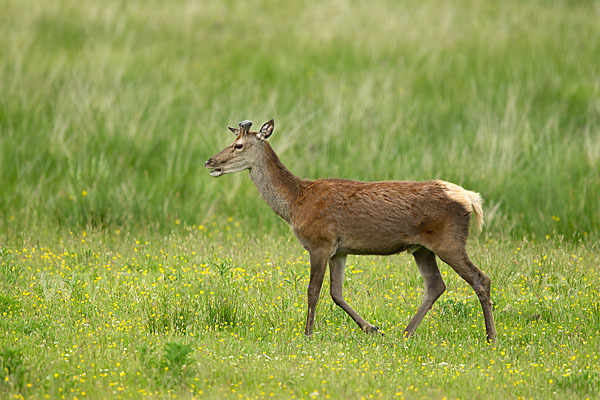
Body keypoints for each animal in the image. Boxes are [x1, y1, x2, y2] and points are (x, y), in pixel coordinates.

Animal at [206, 119, 496, 340]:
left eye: (238, 145)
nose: (210, 161)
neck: (295, 204)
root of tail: (471, 198)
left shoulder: (320, 242)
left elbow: (313, 291)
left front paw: (307, 334)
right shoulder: (340, 250)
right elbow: (336, 293)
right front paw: (371, 328)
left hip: (450, 240)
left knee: (480, 279)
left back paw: (490, 336)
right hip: (421, 248)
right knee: (436, 285)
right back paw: (406, 332)